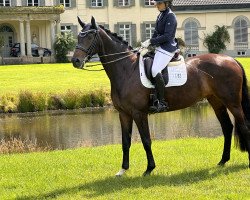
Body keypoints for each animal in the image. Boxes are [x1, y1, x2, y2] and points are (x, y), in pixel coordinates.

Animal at [71, 17, 250, 177]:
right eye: (79, 36)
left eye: (89, 36)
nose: (75, 61)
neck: (126, 69)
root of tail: (231, 59)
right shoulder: (124, 114)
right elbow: (125, 141)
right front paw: (123, 170)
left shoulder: (139, 113)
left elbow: (146, 140)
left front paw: (149, 169)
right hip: (216, 101)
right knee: (227, 127)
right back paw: (222, 161)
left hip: (233, 103)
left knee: (243, 126)